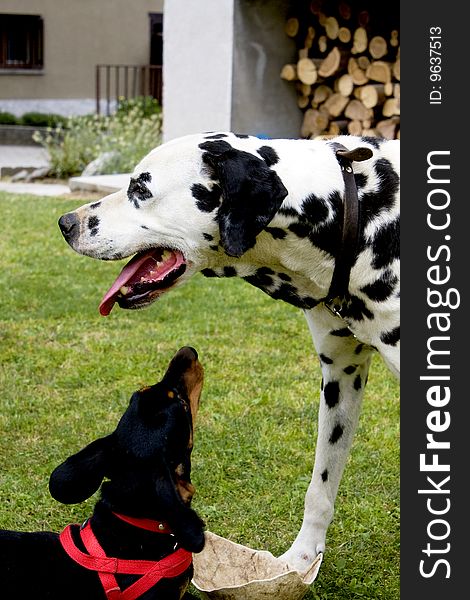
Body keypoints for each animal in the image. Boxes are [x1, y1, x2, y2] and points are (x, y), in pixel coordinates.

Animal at [57, 132, 398, 572]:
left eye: (141, 189)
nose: (66, 223)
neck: (353, 219)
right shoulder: (341, 376)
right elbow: (319, 487)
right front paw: (301, 560)